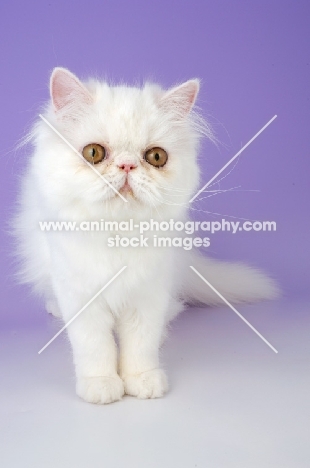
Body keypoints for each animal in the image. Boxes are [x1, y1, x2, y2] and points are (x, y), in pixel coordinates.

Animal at [13, 67, 278, 404]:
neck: (117, 234)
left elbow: (140, 345)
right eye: (93, 153)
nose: (127, 165)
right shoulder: (81, 294)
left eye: (155, 157)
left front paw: (143, 381)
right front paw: (101, 385)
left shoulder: (149, 293)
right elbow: (94, 346)